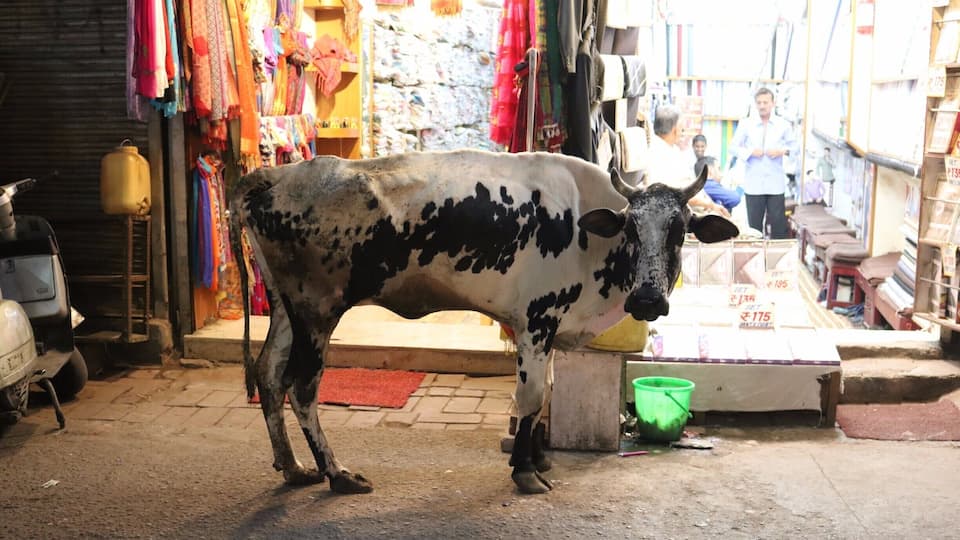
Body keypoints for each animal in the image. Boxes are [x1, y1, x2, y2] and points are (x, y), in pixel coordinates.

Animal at [228, 149, 738, 495]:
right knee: (302, 387)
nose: (649, 299)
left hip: (285, 309)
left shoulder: (547, 330)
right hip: (317, 312)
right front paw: (525, 472)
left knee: (268, 375)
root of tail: (279, 174)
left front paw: (537, 459)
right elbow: (530, 398)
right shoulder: (537, 320)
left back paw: (293, 467)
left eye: (680, 231)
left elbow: (543, 394)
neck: (583, 227)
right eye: (631, 228)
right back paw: (336, 473)